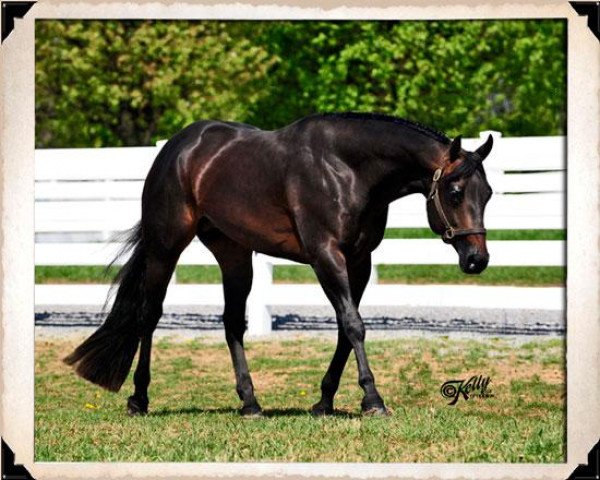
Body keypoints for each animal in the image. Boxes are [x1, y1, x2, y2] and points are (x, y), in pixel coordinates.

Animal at [65, 112, 494, 416]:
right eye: (455, 191)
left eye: (487, 193)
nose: (477, 259)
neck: (347, 169)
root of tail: (177, 148)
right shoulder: (326, 255)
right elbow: (353, 324)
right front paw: (372, 400)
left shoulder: (359, 260)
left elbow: (346, 327)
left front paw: (324, 401)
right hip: (165, 246)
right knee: (149, 316)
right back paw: (139, 399)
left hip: (234, 254)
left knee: (232, 324)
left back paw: (250, 403)